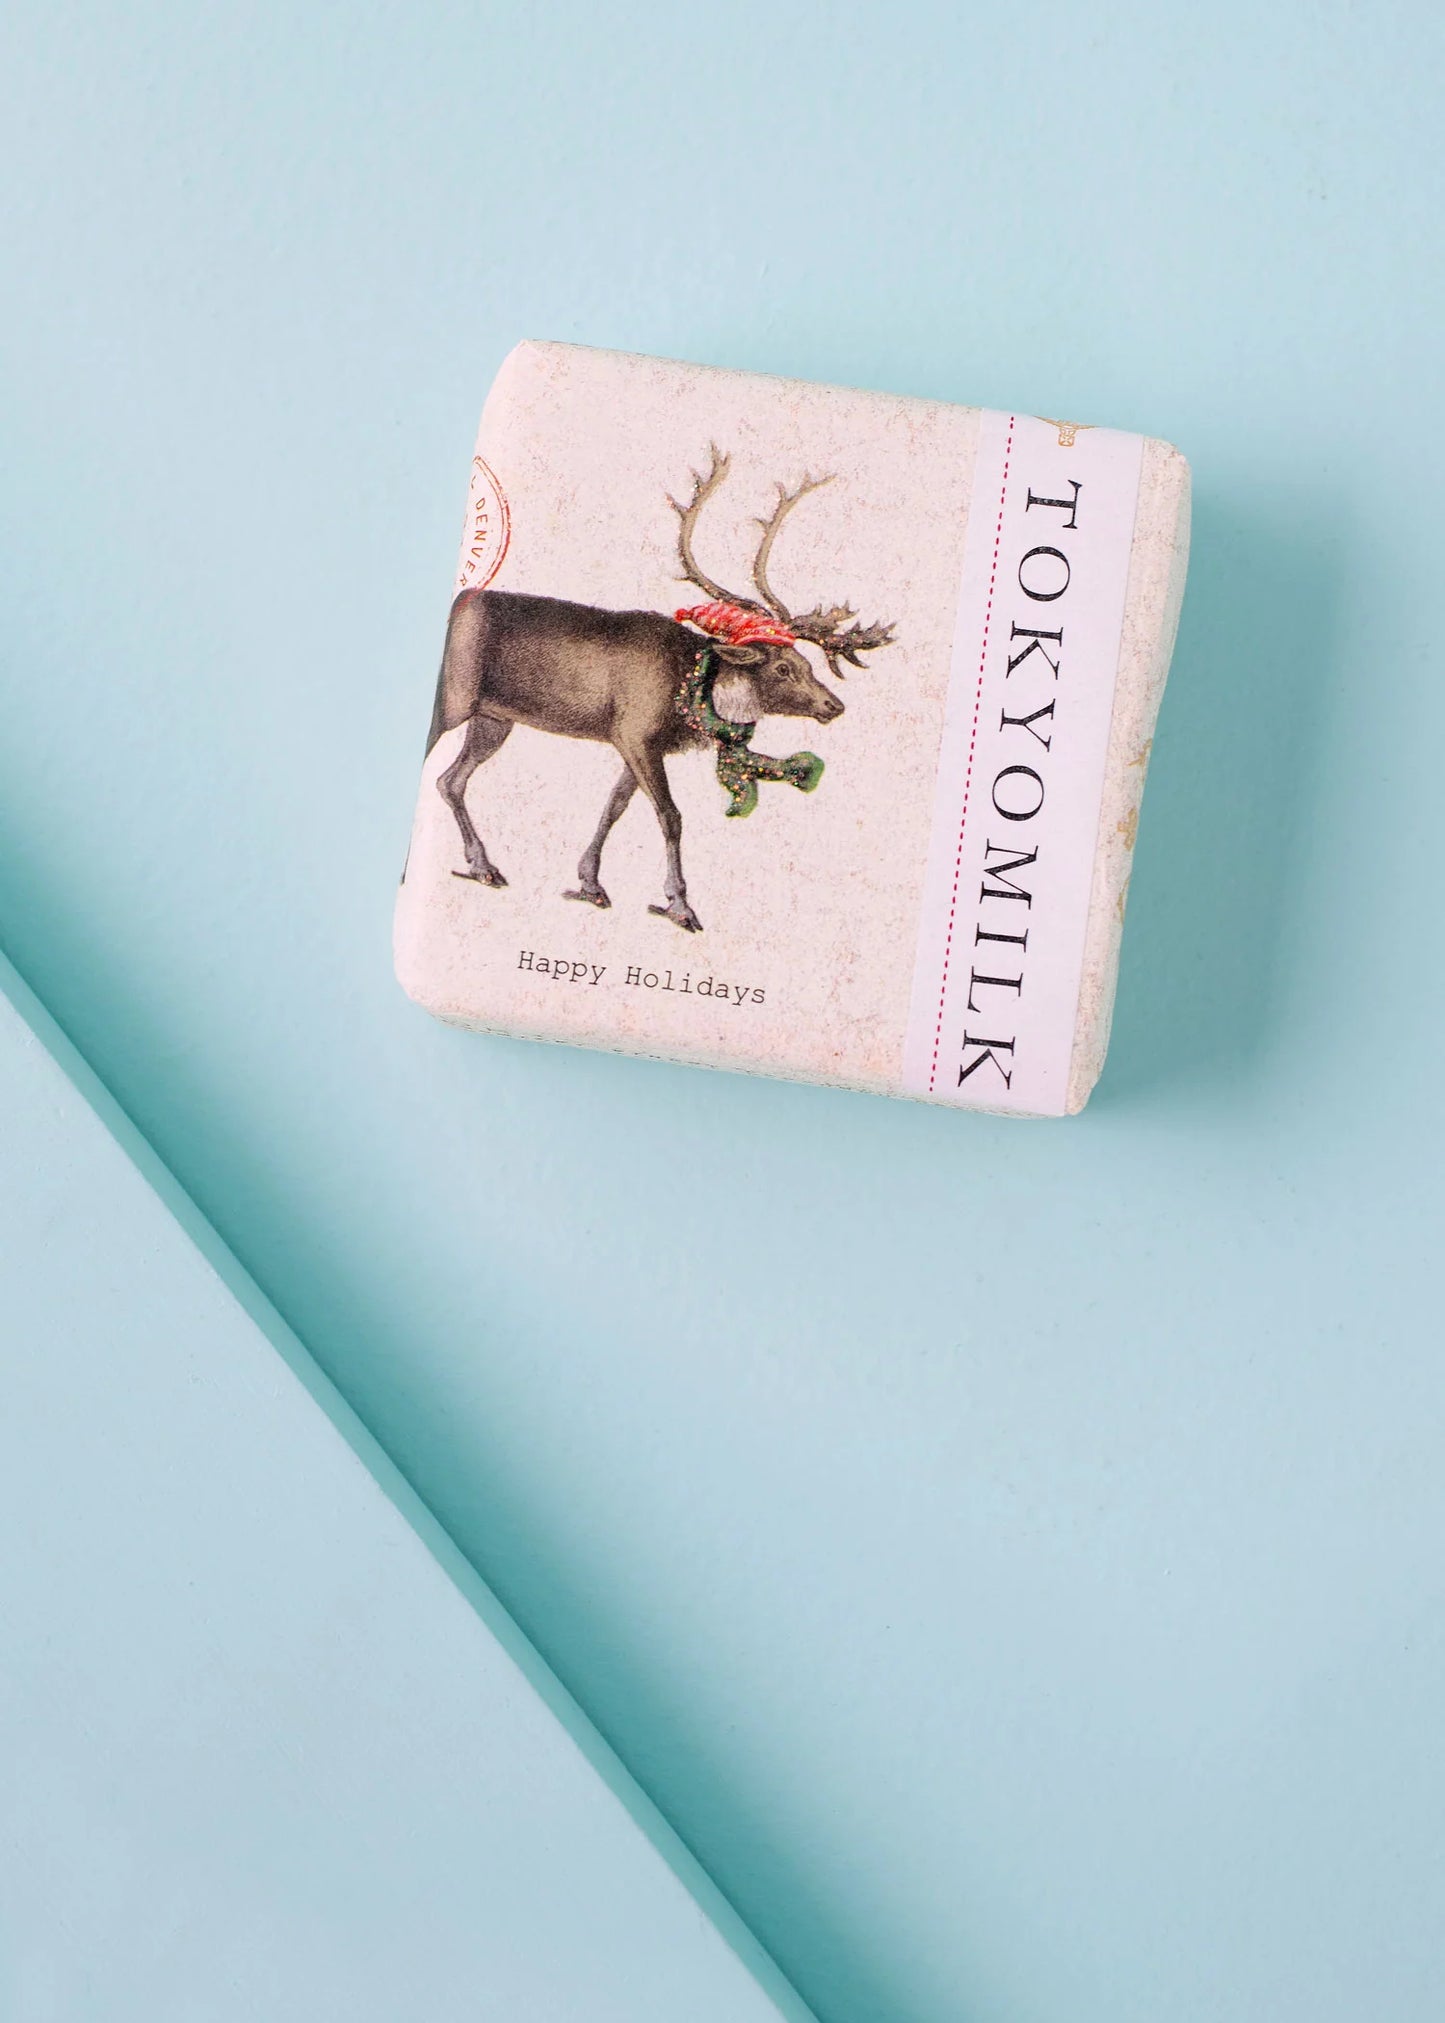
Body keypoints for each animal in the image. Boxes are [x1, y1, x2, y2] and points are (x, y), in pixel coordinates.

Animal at [424, 446, 895, 932]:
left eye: (807, 664)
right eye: (783, 668)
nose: (833, 705)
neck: (691, 687)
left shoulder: (637, 743)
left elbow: (614, 805)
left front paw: (590, 883)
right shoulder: (635, 733)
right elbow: (670, 815)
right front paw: (680, 904)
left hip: (494, 719)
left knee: (450, 780)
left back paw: (484, 866)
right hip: (453, 701)